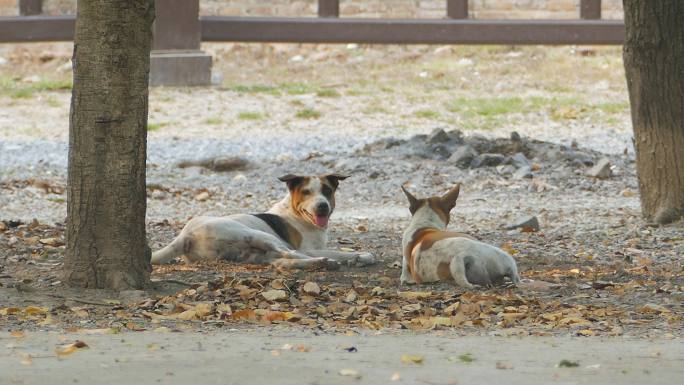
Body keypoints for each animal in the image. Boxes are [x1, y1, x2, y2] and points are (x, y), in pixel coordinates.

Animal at [151, 172, 374, 268]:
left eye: (327, 191)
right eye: (306, 192)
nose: (322, 206)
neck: (297, 214)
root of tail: (186, 235)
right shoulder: (308, 247)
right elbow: (339, 251)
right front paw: (360, 256)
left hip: (252, 255)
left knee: (282, 262)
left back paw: (320, 263)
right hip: (257, 235)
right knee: (289, 253)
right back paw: (327, 261)